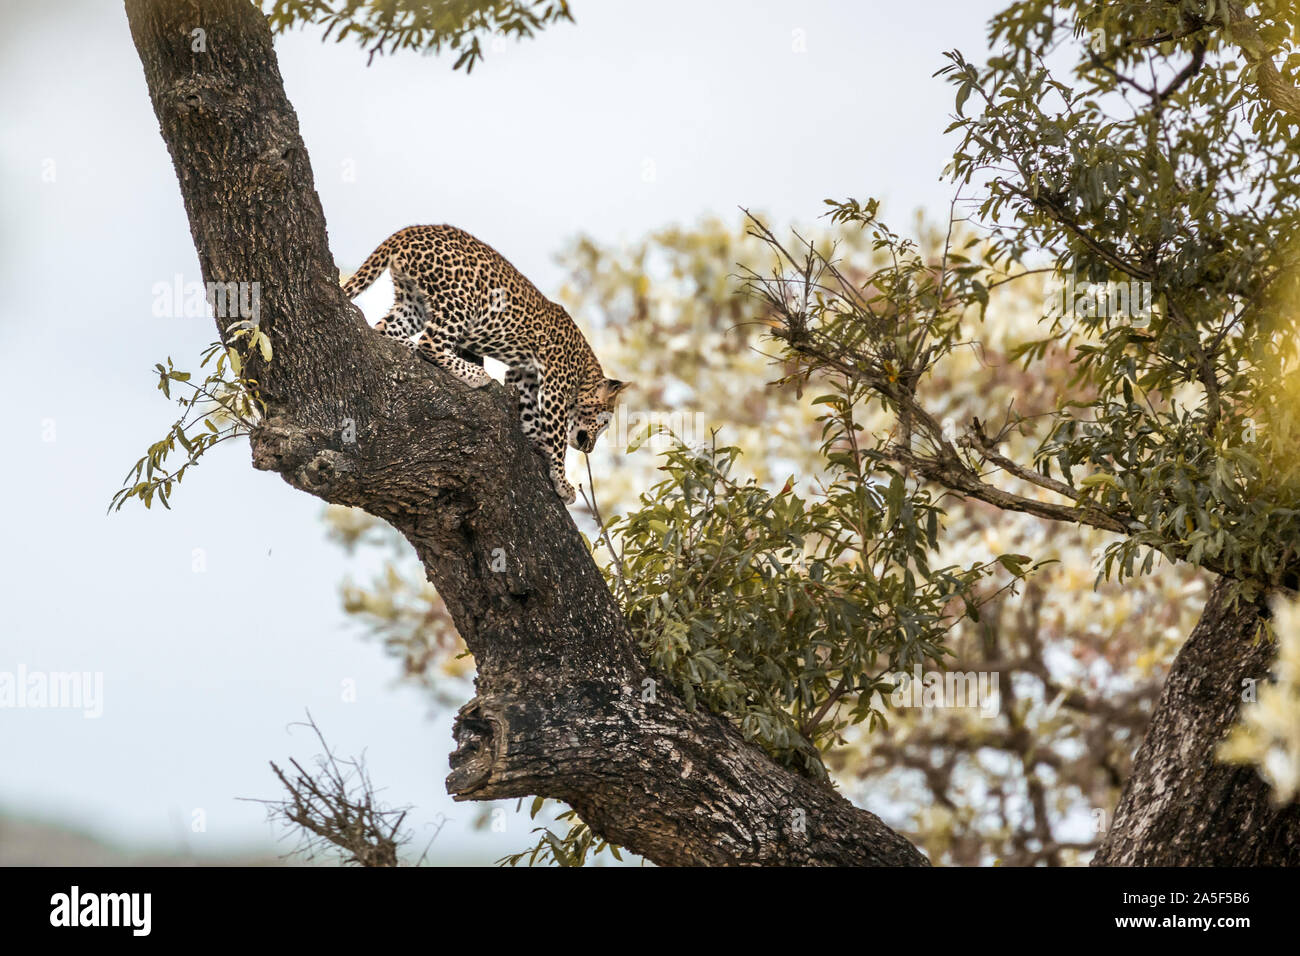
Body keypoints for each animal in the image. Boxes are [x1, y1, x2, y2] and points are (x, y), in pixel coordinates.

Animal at [341, 224, 631, 504]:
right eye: (605, 421)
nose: (589, 448)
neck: (584, 370)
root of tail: (411, 230)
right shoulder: (555, 387)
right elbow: (558, 439)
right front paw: (562, 482)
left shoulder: (522, 376)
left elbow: (531, 416)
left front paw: (538, 440)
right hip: (460, 297)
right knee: (430, 342)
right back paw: (473, 373)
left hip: (414, 301)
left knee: (385, 328)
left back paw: (414, 350)